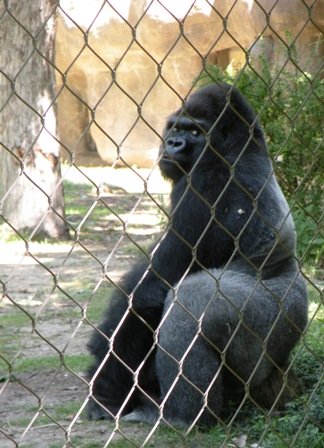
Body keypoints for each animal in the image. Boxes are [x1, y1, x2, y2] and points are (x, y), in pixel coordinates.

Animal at [86, 82, 308, 428]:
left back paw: (182, 416)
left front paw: (106, 388)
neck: (241, 147)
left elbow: (148, 292)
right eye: (176, 127)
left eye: (195, 132)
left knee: (189, 299)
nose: (172, 143)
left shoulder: (205, 182)